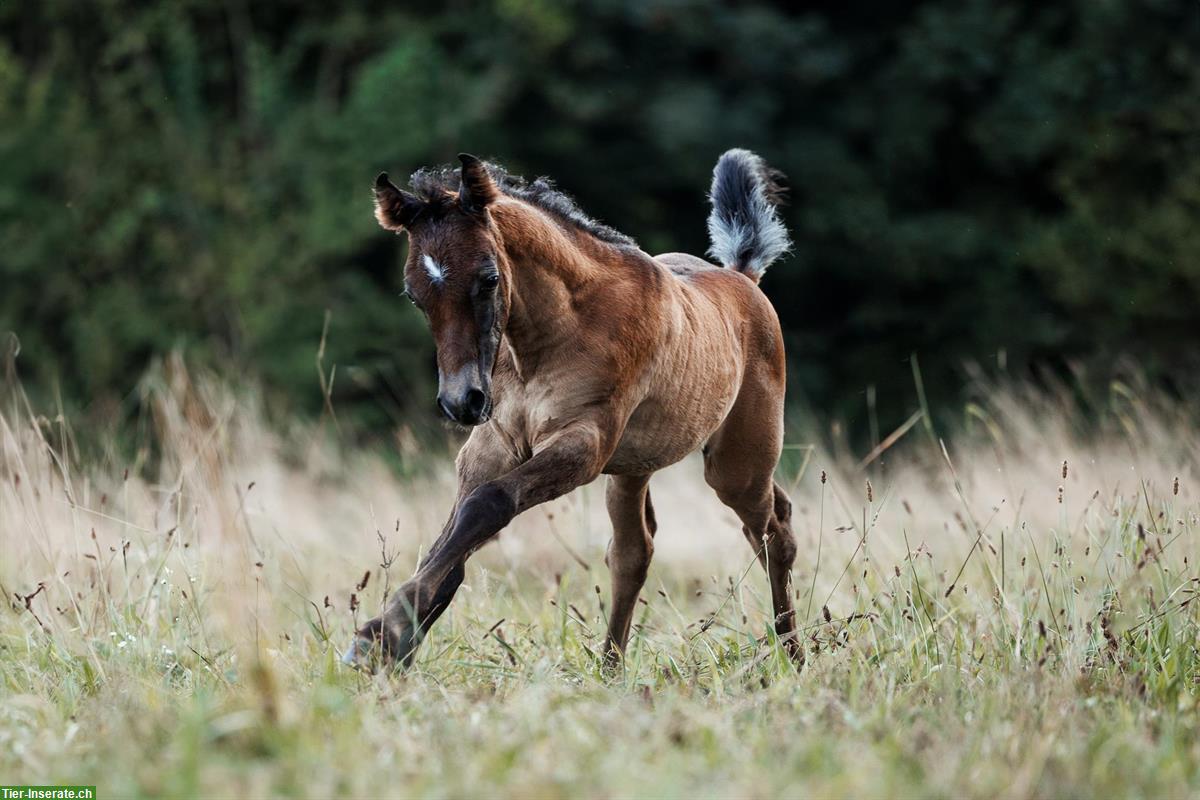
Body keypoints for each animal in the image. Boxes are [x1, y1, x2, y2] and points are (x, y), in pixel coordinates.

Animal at [343, 148, 801, 671]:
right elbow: (457, 536)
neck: (547, 340)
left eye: (489, 278)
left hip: (736, 465)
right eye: (414, 293)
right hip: (634, 468)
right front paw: (396, 639)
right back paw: (611, 667)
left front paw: (378, 635)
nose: (462, 401)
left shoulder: (583, 444)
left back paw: (794, 654)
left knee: (773, 534)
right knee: (635, 552)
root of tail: (743, 276)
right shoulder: (492, 444)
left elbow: (487, 505)